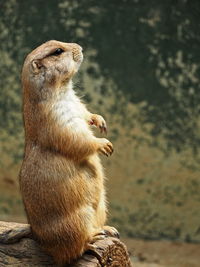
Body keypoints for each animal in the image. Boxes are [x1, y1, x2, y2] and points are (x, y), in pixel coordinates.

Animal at [18, 40, 119, 266]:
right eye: (57, 51)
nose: (79, 46)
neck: (63, 89)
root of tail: (38, 238)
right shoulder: (56, 117)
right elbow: (76, 138)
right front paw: (105, 144)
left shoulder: (76, 103)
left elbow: (86, 113)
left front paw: (101, 122)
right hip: (75, 221)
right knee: (72, 250)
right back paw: (93, 239)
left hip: (101, 206)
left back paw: (109, 229)